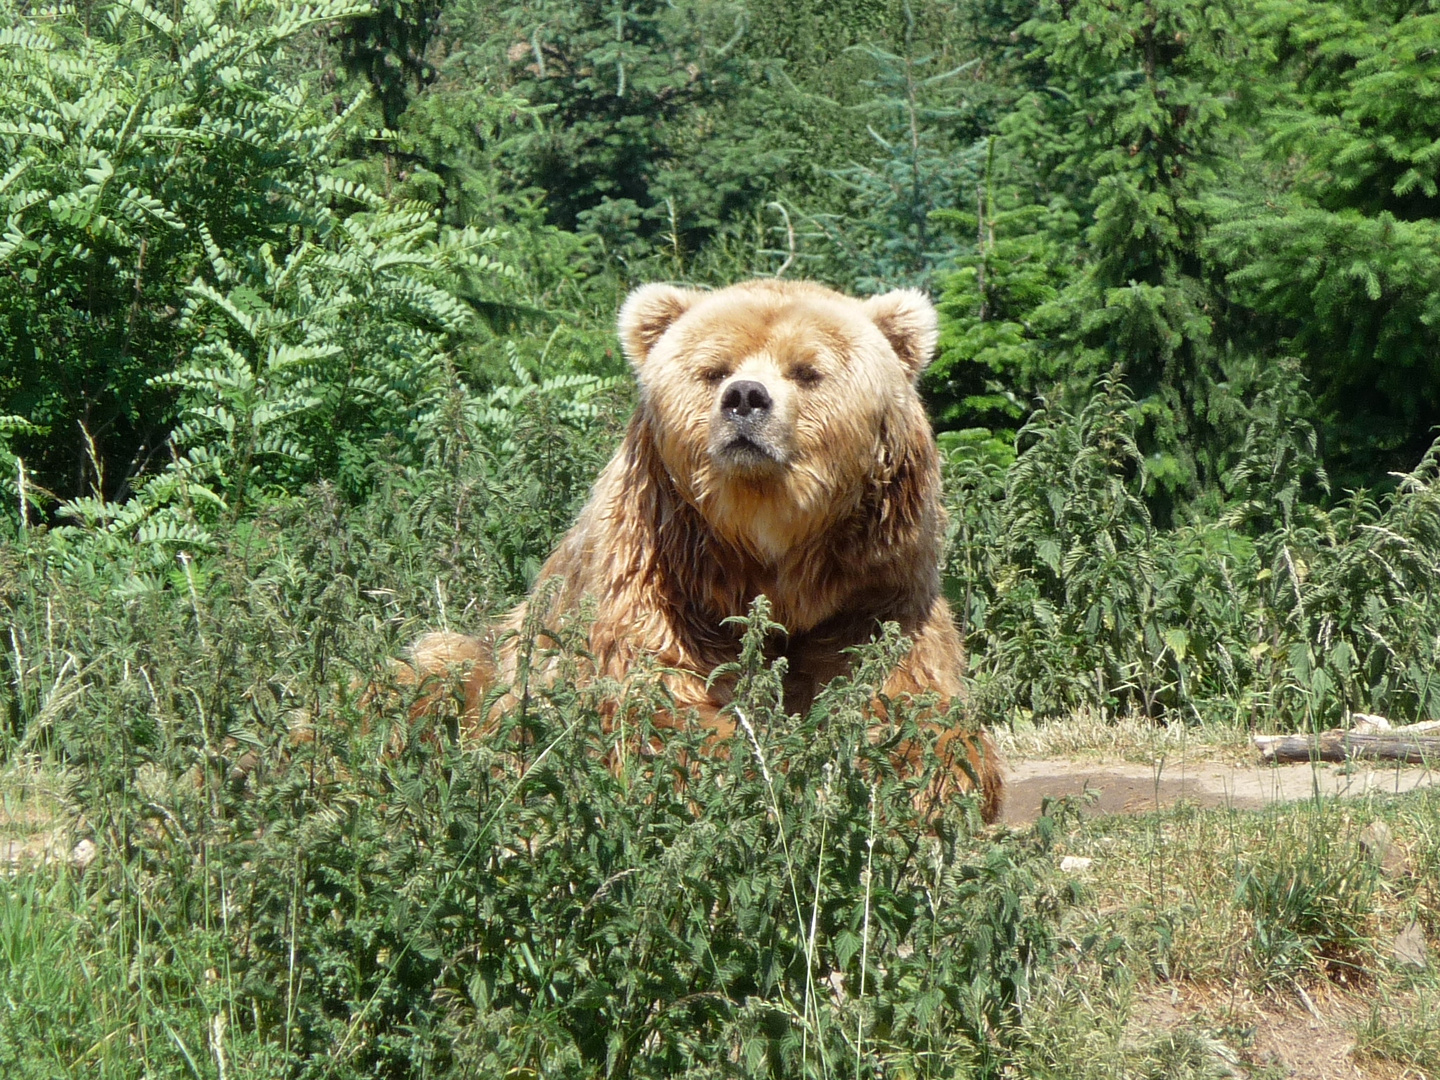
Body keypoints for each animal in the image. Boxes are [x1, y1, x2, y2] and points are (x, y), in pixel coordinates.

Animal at [411, 276, 1008, 817]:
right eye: (714, 369)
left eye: (807, 370)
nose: (745, 397)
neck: (767, 553)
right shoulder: (658, 578)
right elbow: (657, 700)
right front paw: (746, 767)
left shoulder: (875, 590)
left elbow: (904, 692)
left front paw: (924, 778)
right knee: (434, 669)